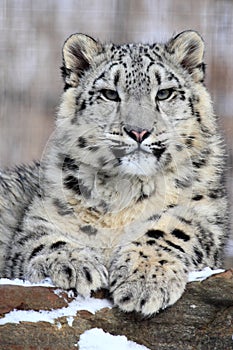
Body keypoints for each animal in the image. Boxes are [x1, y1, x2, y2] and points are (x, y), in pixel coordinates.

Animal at [0, 30, 228, 314]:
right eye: (110, 94)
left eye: (164, 93)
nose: (138, 131)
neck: (126, 191)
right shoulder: (40, 218)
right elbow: (42, 240)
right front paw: (75, 264)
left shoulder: (202, 214)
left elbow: (171, 230)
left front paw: (145, 280)